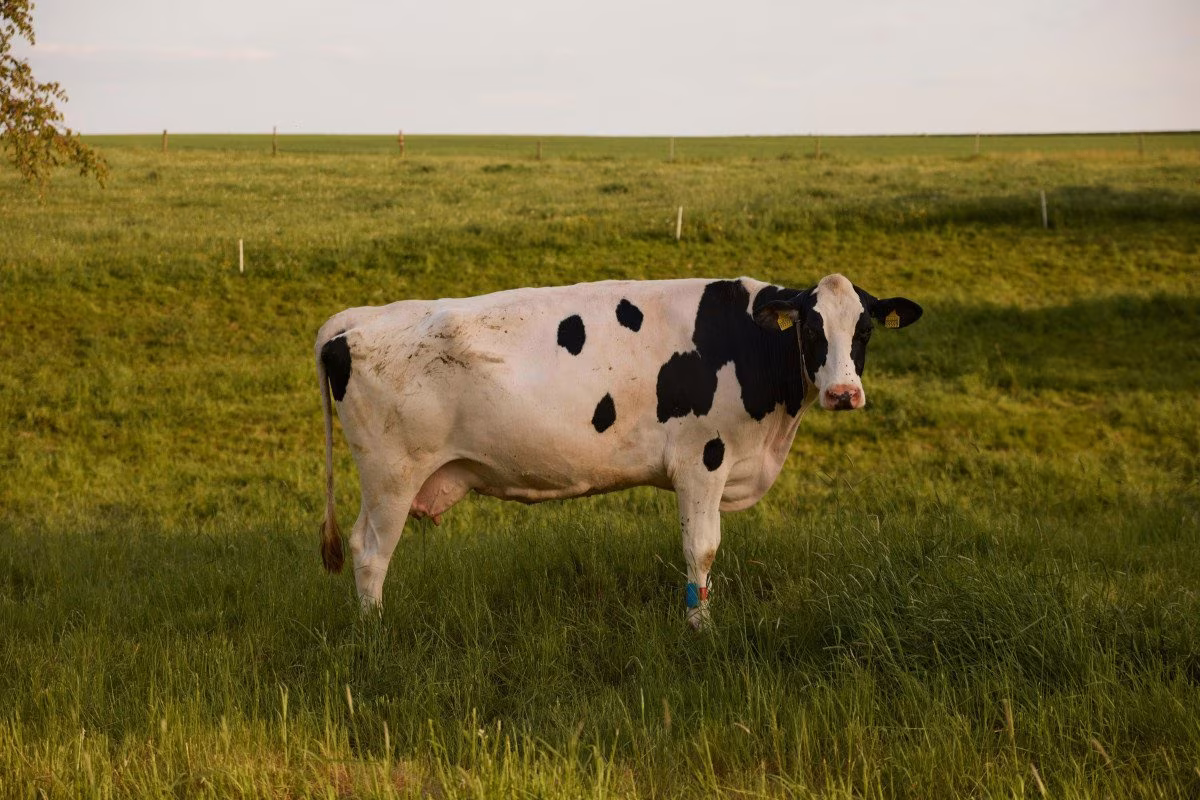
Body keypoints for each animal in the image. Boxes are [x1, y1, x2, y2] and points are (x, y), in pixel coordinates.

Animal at [316, 274, 922, 627]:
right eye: (812, 330)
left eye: (864, 331)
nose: (843, 393)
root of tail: (355, 319)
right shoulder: (703, 459)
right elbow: (701, 550)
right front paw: (701, 630)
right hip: (393, 473)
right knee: (370, 551)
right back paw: (374, 635)